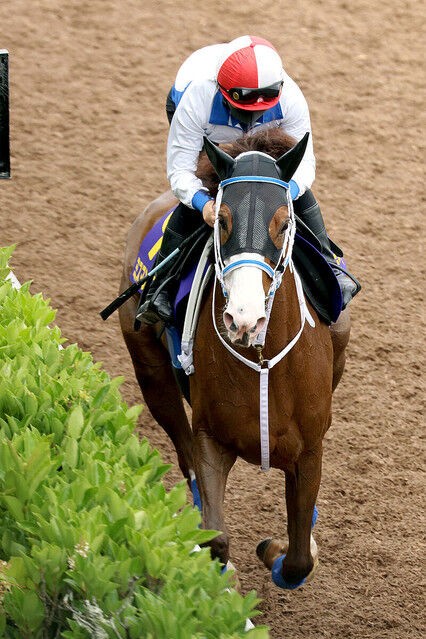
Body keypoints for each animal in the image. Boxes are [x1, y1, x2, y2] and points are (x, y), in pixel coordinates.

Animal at [118, 129, 352, 592]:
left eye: (283, 223)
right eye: (221, 220)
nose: (244, 318)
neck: (262, 361)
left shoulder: (309, 449)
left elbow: (299, 557)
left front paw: (276, 551)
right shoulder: (212, 438)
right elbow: (217, 537)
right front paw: (219, 576)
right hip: (152, 375)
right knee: (182, 449)